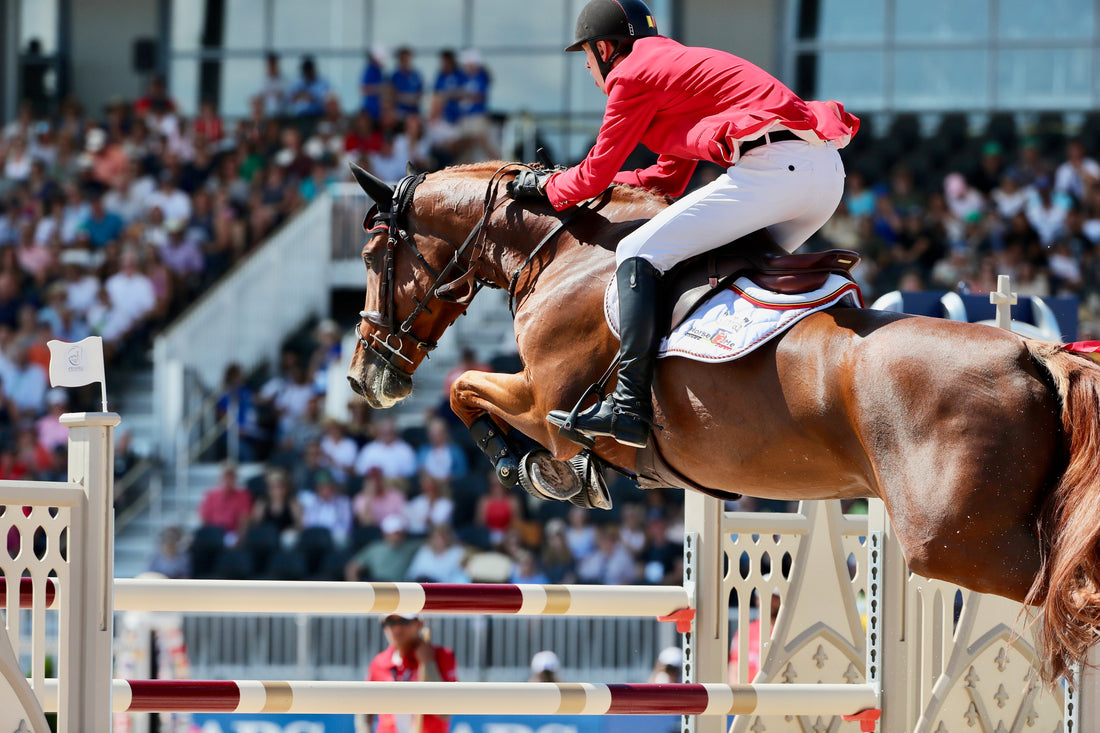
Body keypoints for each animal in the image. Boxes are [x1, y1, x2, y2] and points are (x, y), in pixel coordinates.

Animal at [347, 161, 1100, 686]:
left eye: (372, 258)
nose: (365, 377)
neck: (566, 252)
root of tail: (1033, 350)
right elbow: (467, 390)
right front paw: (561, 473)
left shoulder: (545, 403)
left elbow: (463, 390)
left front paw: (542, 470)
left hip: (955, 543)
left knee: (1066, 590)